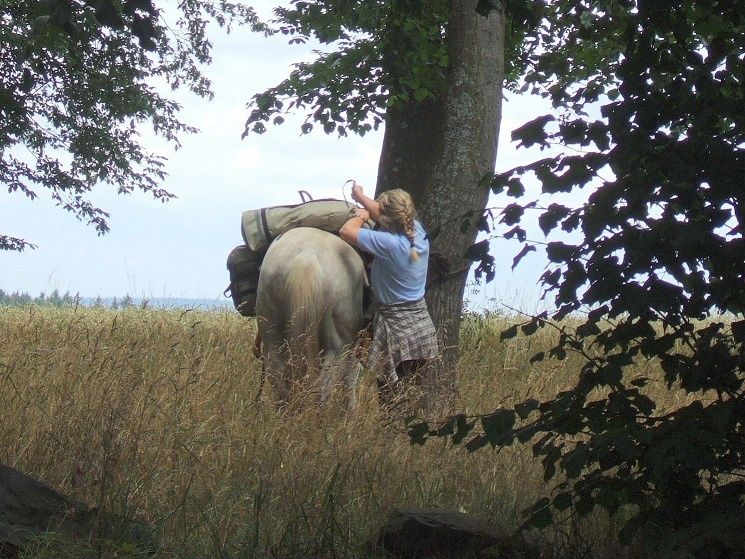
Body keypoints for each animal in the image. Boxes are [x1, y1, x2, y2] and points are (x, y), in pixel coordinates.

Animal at [256, 226, 366, 406]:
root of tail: (308, 257)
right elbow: (350, 383)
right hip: (338, 346)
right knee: (324, 387)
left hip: (271, 331)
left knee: (278, 375)